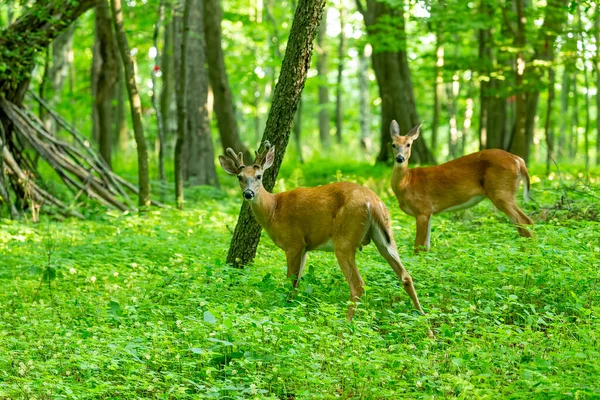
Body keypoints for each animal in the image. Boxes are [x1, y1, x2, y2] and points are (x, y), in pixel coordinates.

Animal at [220, 142, 426, 320]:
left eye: (259, 176)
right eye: (239, 177)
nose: (248, 193)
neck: (273, 210)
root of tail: (373, 202)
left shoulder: (293, 243)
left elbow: (290, 281)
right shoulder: (304, 247)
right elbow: (297, 282)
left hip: (345, 238)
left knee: (358, 284)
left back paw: (346, 324)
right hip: (386, 235)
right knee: (406, 276)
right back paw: (424, 321)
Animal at [390, 119, 536, 253]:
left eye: (408, 144)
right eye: (393, 145)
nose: (400, 158)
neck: (407, 183)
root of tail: (518, 160)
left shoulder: (422, 209)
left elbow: (418, 247)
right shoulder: (429, 213)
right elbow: (426, 246)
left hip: (501, 191)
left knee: (525, 221)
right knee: (520, 223)